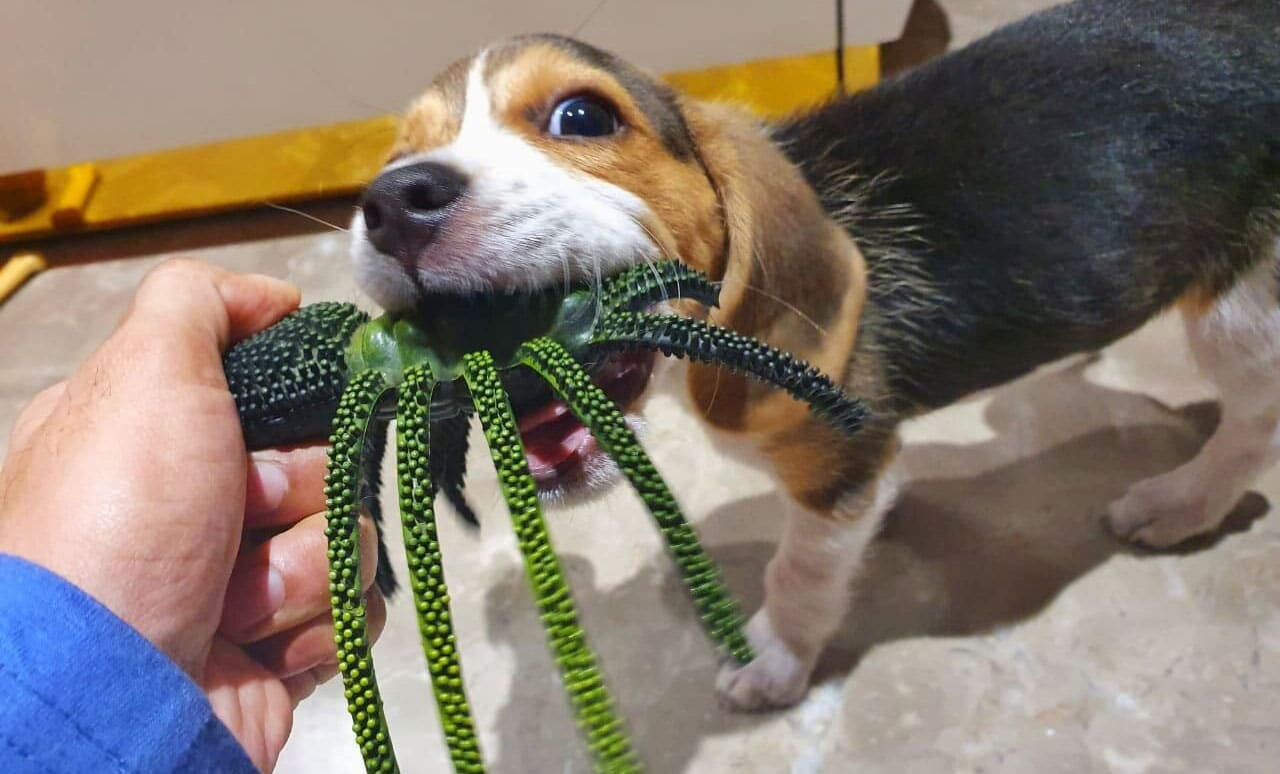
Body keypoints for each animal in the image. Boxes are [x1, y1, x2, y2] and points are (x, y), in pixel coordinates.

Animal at [348, 0, 1280, 711]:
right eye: (393, 158)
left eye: (582, 116)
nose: (393, 200)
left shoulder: (834, 475)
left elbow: (800, 571)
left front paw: (773, 663)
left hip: (1241, 314)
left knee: (1253, 423)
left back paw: (1182, 504)